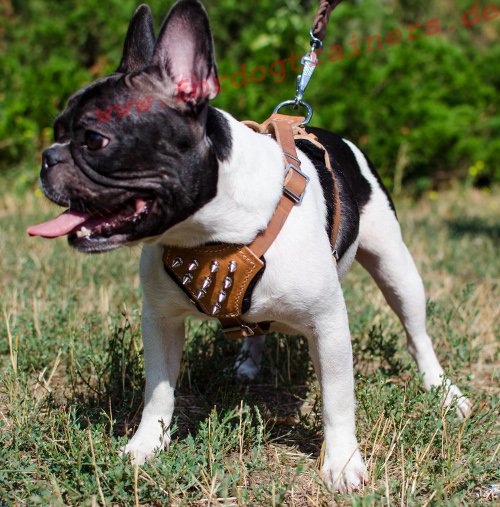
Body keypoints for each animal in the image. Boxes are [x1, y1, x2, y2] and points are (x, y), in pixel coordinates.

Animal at [29, 0, 470, 492]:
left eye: (93, 139)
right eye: (57, 129)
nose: (47, 157)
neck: (210, 230)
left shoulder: (329, 325)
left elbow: (338, 400)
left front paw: (341, 463)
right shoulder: (159, 320)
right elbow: (158, 390)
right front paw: (146, 446)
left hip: (396, 268)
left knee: (417, 333)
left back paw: (443, 391)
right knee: (256, 327)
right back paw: (246, 362)